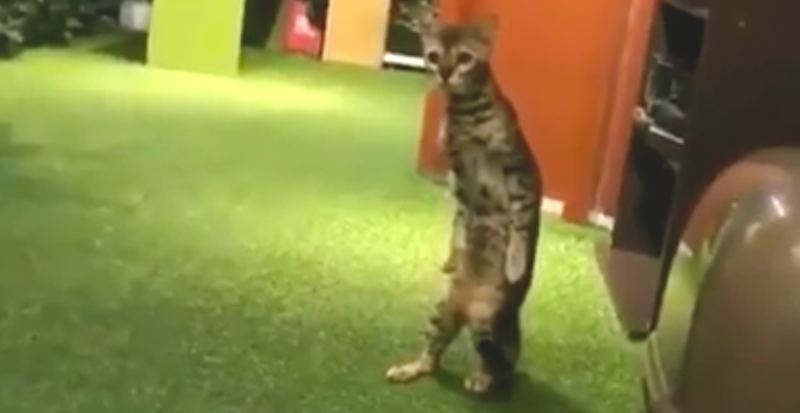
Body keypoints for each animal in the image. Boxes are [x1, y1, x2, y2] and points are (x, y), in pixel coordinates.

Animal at [386, 2, 543, 395]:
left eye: (465, 58)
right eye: (433, 56)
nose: (444, 73)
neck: (468, 117)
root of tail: (467, 310)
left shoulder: (521, 172)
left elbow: (520, 224)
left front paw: (515, 262)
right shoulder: (456, 174)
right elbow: (459, 216)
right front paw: (453, 253)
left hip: (490, 323)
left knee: (503, 367)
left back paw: (483, 380)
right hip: (443, 309)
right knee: (434, 354)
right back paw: (411, 368)